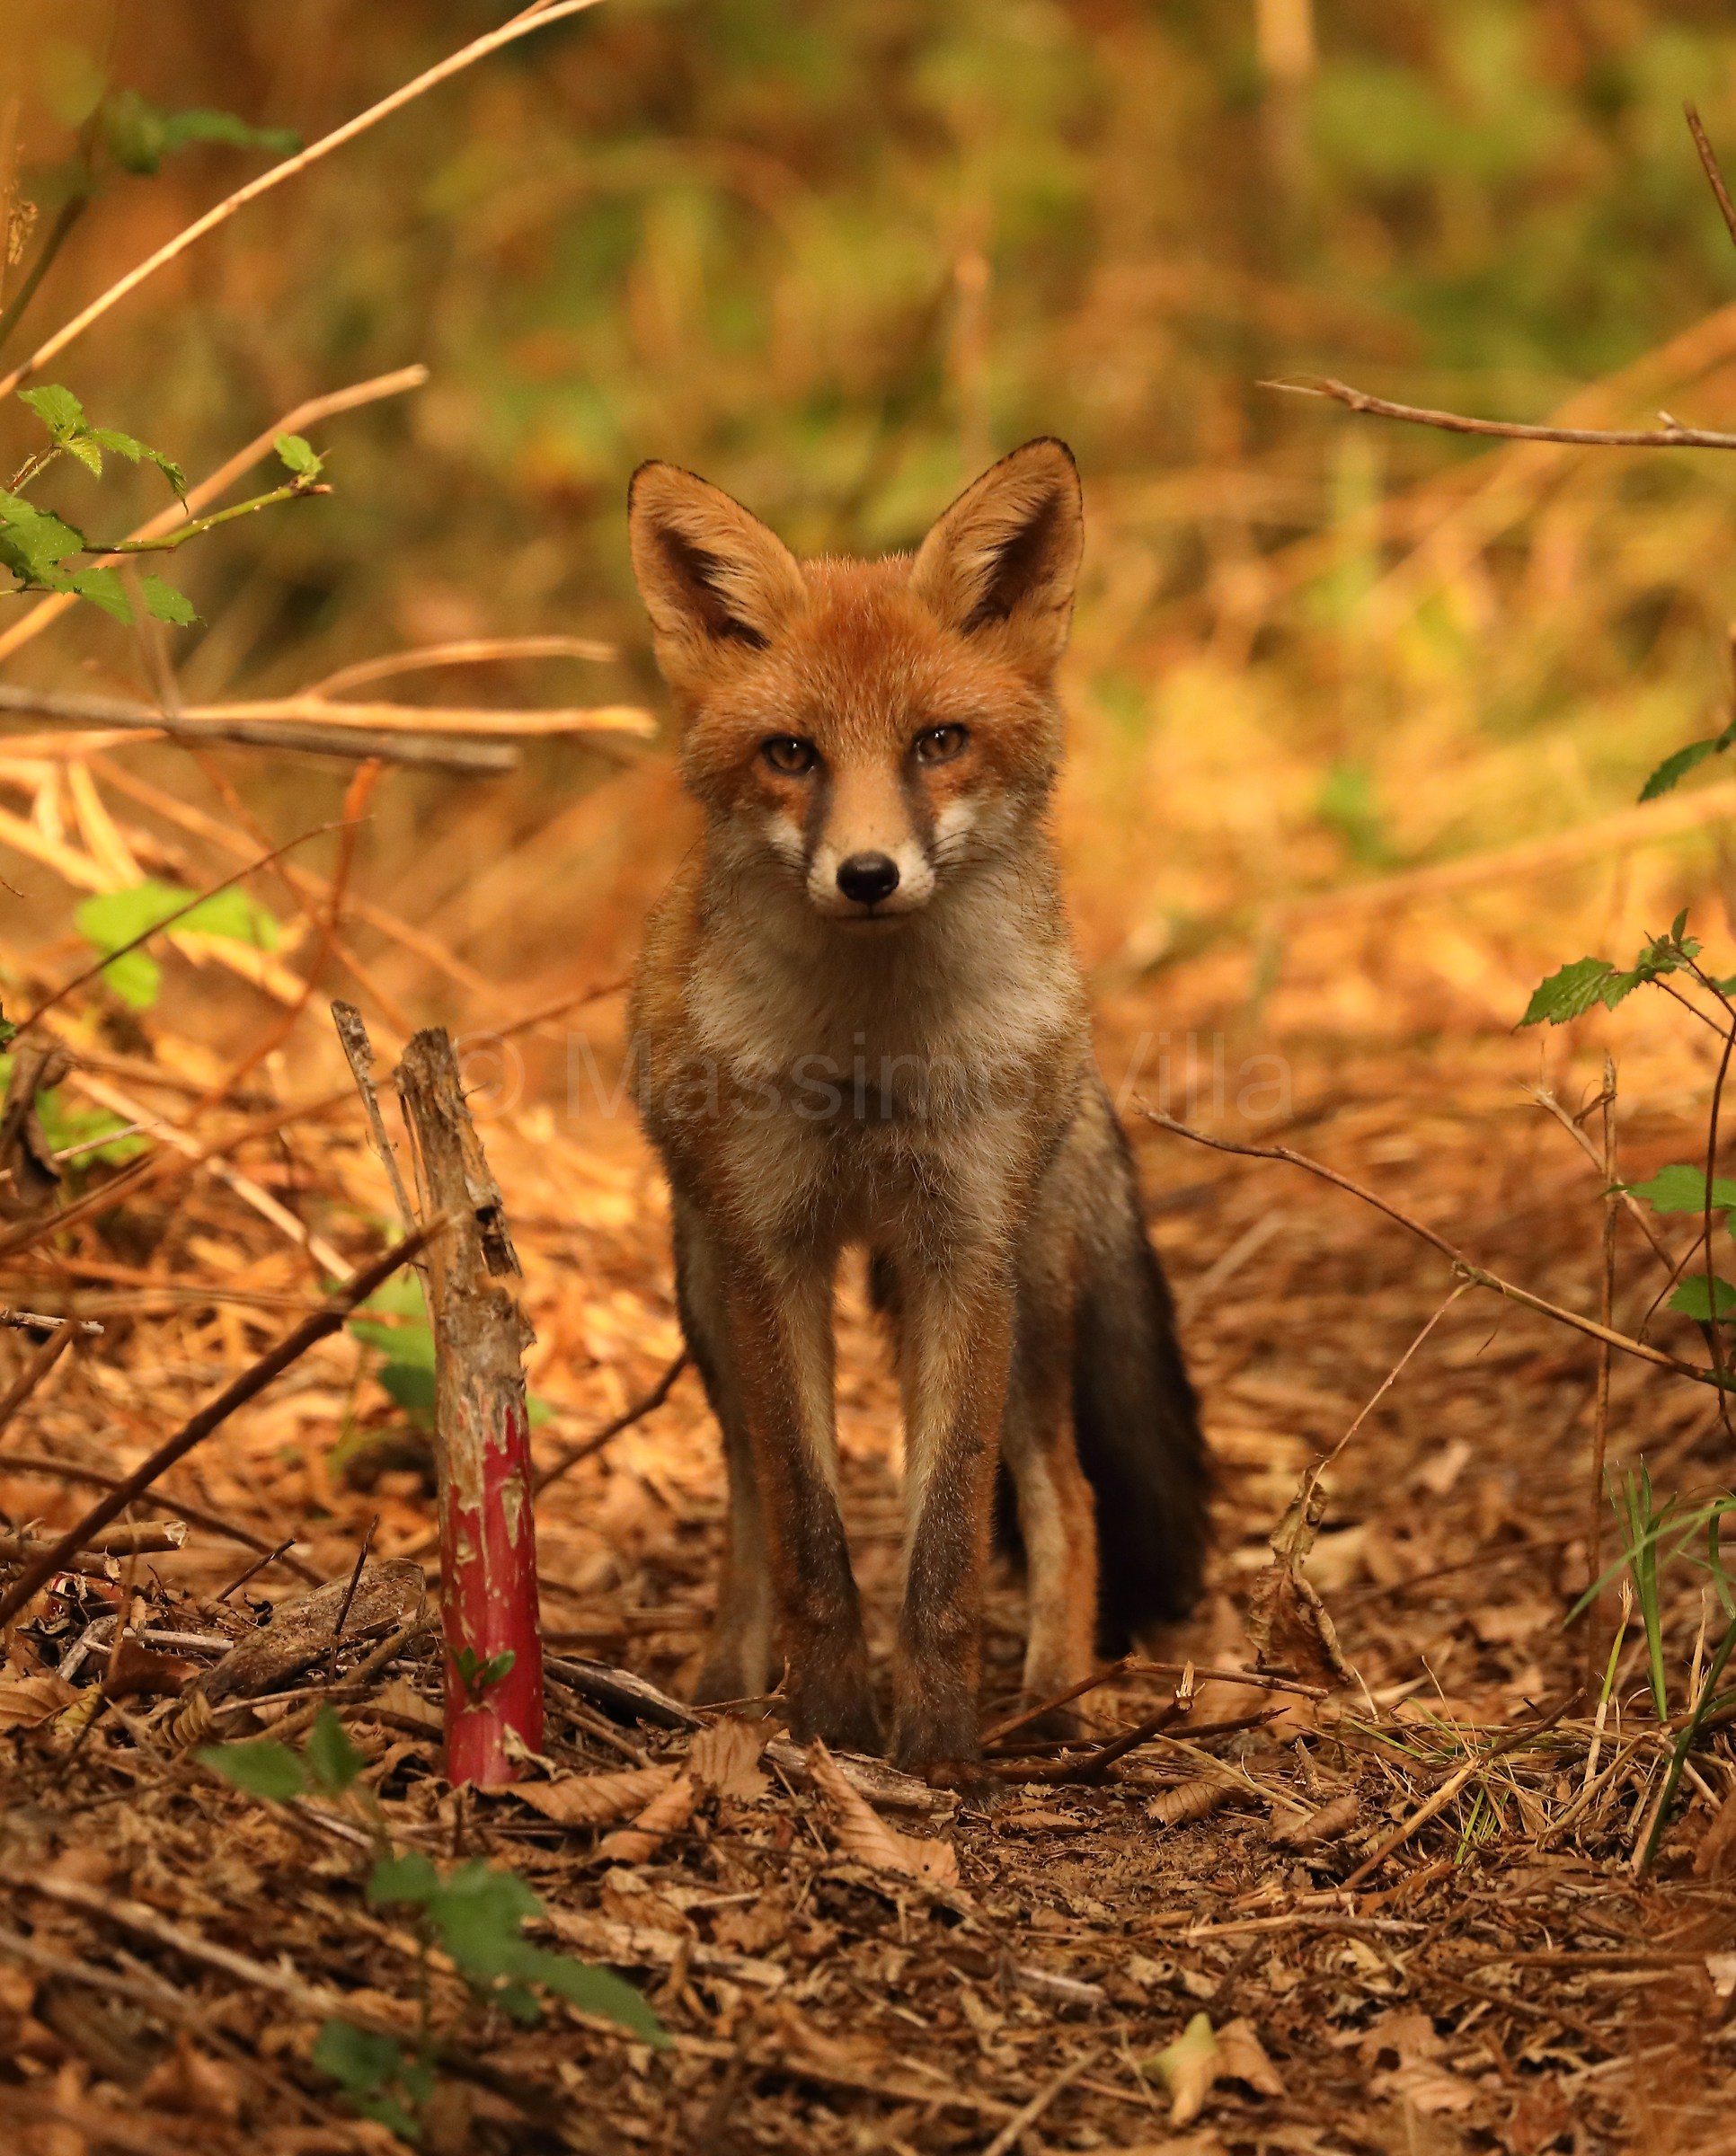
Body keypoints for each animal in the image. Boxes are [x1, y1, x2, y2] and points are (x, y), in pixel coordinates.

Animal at [625, 437, 1209, 1776]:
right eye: (792, 754)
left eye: (938, 740)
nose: (868, 875)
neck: (872, 1060)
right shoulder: (772, 1250)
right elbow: (813, 1535)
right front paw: (835, 1726)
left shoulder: (965, 1248)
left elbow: (943, 1552)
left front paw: (937, 1749)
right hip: (708, 1293)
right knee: (751, 1494)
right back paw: (732, 1686)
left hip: (1033, 1297)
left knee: (1067, 1495)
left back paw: (1054, 1698)